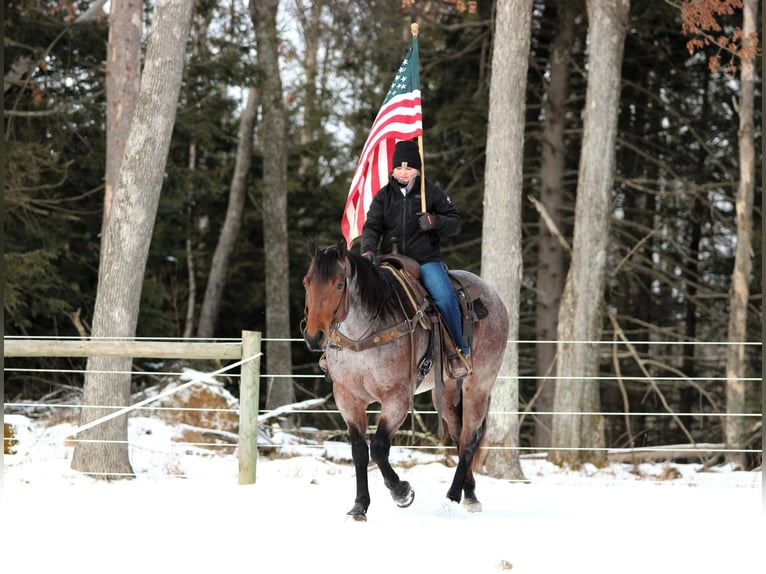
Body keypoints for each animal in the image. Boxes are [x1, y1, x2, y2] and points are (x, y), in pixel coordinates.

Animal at [300, 238, 510, 520]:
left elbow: (378, 447)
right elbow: (359, 450)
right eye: (307, 282)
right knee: (459, 435)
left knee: (469, 439)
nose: (314, 336)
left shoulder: (396, 398)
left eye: (339, 284)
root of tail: (495, 298)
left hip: (478, 385)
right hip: (445, 393)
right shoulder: (347, 398)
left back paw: (452, 498)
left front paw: (402, 492)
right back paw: (470, 495)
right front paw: (359, 506)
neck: (362, 338)